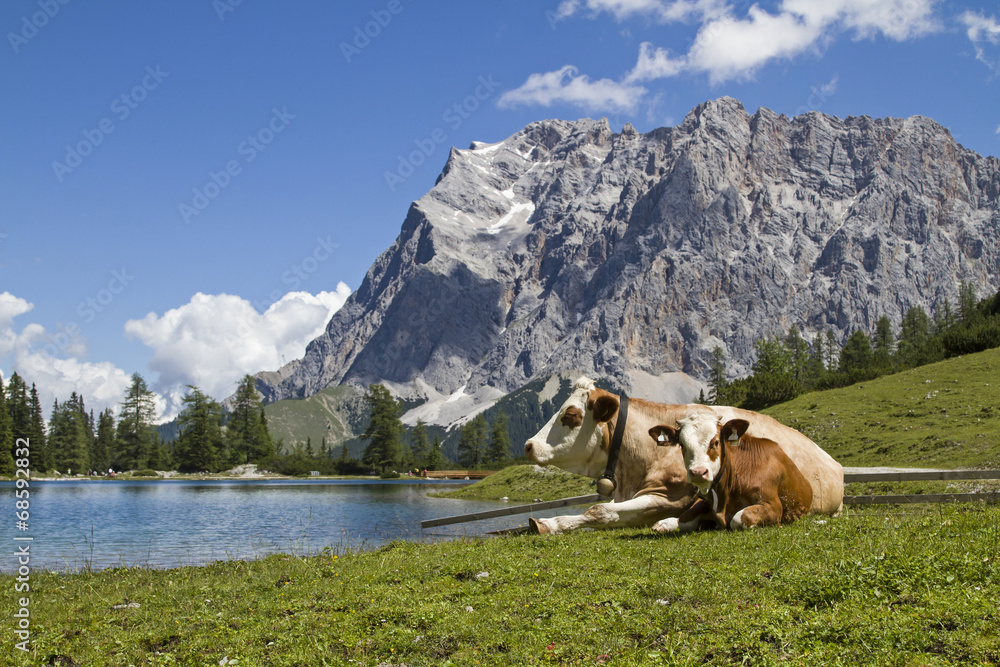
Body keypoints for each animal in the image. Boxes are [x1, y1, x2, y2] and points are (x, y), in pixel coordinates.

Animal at [648, 414, 813, 532]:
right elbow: (685, 518)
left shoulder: (772, 505)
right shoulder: (705, 500)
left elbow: (738, 518)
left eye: (715, 442)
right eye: (682, 444)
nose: (698, 472)